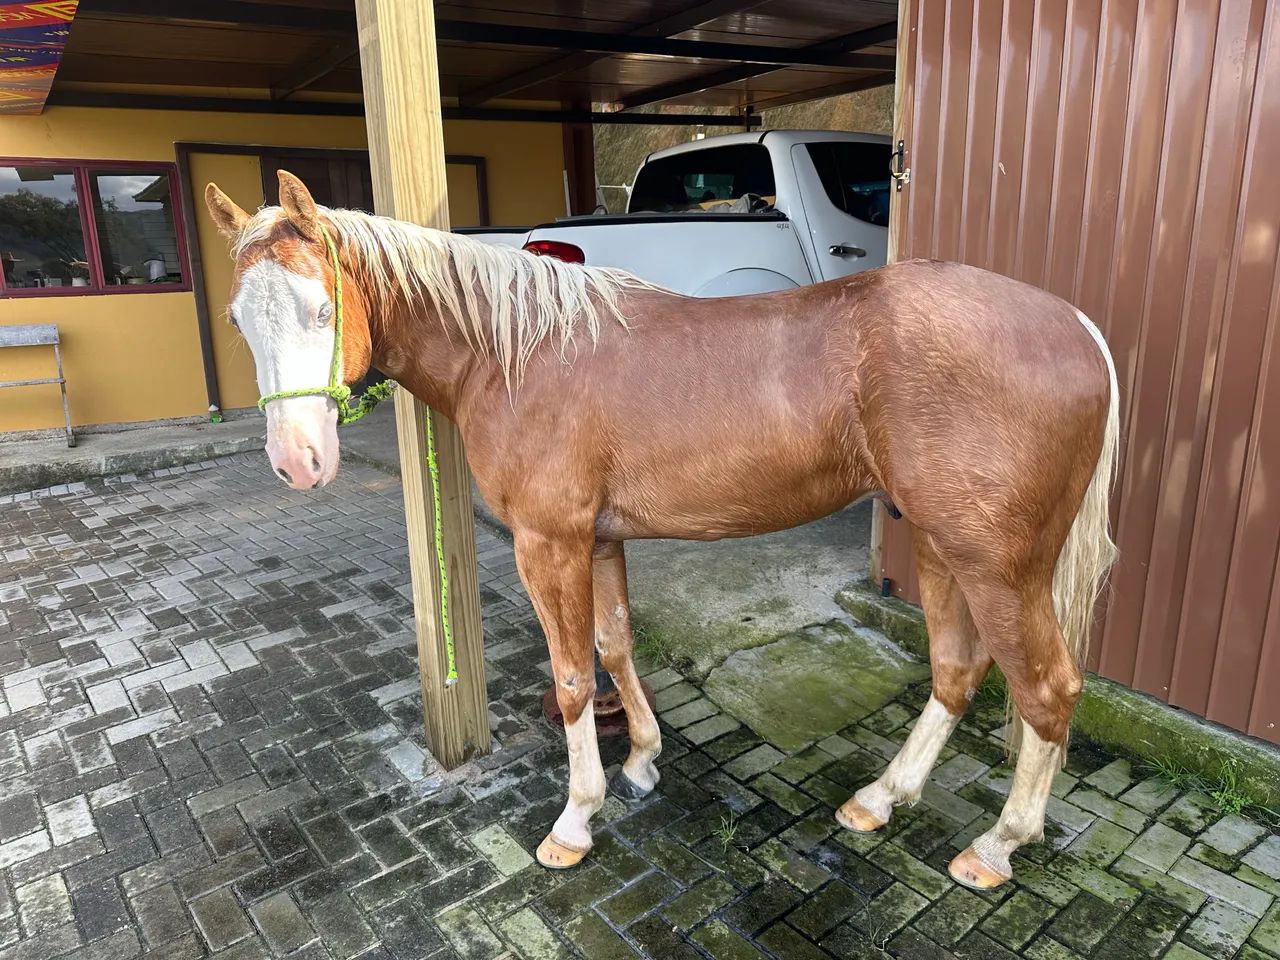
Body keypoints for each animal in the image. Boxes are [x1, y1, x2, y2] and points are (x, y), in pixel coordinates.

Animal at [205, 170, 1118, 891]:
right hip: (938, 546)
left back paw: (996, 847)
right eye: (238, 320)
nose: (298, 461)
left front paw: (575, 820)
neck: (517, 352)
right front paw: (642, 760)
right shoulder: (599, 540)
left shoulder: (549, 543)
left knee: (1047, 691)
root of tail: (1077, 325)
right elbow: (615, 646)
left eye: (323, 310)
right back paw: (879, 800)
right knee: (957, 672)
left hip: (998, 567)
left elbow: (575, 677)